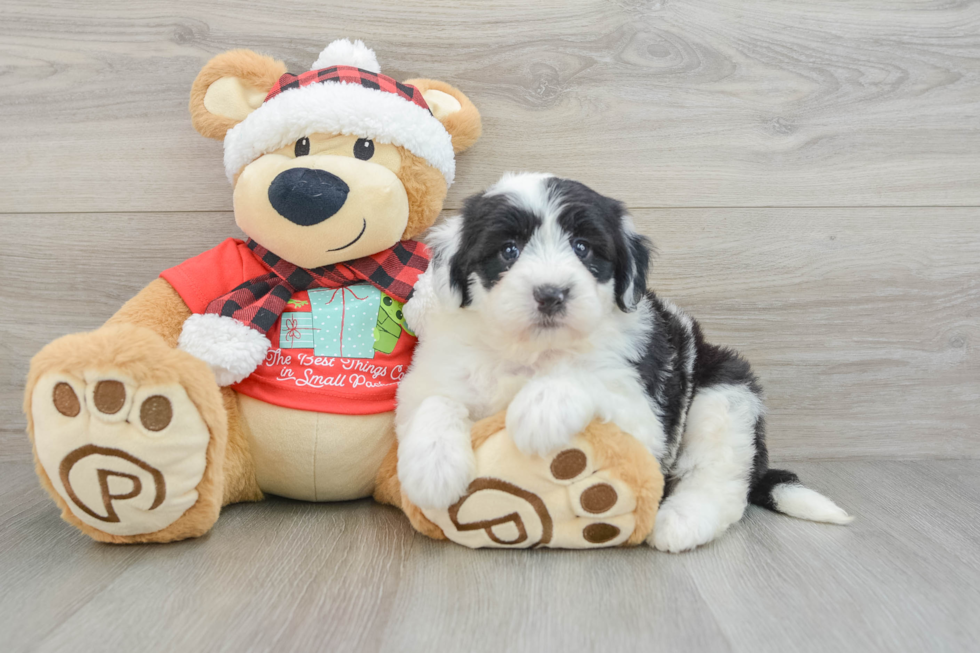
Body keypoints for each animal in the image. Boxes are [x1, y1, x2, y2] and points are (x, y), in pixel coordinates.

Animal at [394, 172, 852, 552]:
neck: (535, 350)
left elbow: (586, 377)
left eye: (583, 248)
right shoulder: (433, 375)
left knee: (718, 475)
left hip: (725, 392)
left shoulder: (645, 420)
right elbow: (434, 401)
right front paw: (432, 468)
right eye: (509, 250)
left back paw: (681, 521)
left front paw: (540, 410)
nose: (551, 293)